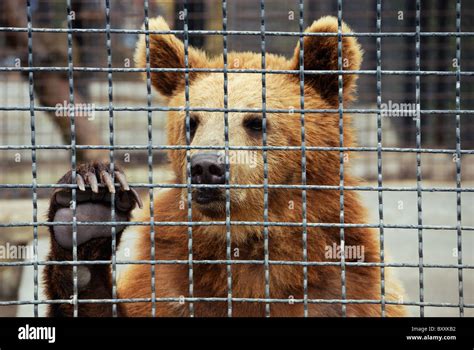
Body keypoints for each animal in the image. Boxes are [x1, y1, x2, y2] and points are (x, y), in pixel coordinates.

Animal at [45, 16, 408, 318]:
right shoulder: (172, 281)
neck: (245, 240)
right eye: (191, 122)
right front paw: (91, 201)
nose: (206, 167)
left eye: (256, 122)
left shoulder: (344, 283)